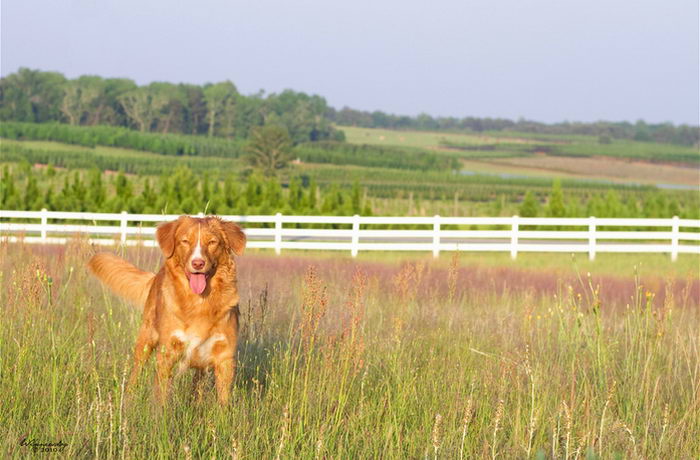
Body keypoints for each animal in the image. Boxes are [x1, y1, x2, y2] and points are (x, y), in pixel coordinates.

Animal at [88, 214, 246, 404]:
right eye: (185, 241)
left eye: (212, 242)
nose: (198, 263)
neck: (199, 302)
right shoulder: (167, 353)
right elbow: (161, 398)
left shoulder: (224, 356)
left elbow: (223, 401)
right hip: (145, 339)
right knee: (136, 372)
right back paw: (129, 399)